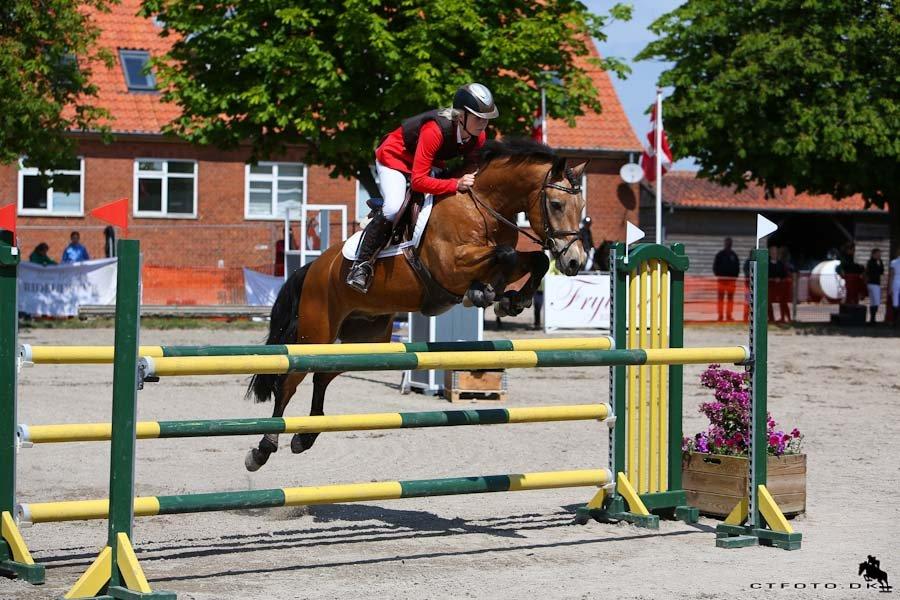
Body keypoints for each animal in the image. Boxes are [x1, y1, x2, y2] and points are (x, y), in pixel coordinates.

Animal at [243, 138, 588, 472]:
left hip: (367, 338)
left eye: (581, 206)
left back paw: (306, 436)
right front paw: (487, 294)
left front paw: (510, 299)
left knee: (323, 375)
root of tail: (314, 267)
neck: (481, 207)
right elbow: (506, 255)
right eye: (556, 204)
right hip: (316, 333)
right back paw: (263, 449)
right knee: (290, 382)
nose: (574, 261)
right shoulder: (452, 265)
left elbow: (534, 259)